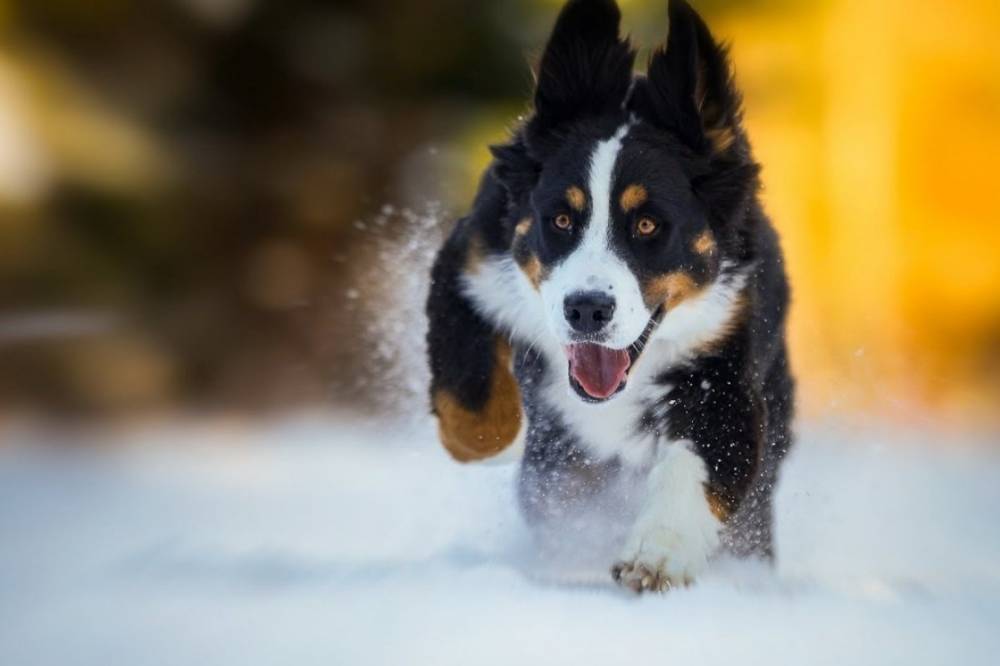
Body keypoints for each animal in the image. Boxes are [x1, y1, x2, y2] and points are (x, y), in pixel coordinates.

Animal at [426, 0, 792, 592]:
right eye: (560, 219)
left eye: (647, 224)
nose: (586, 310)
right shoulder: (471, 260)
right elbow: (470, 399)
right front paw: (495, 442)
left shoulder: (726, 361)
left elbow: (699, 463)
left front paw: (657, 556)